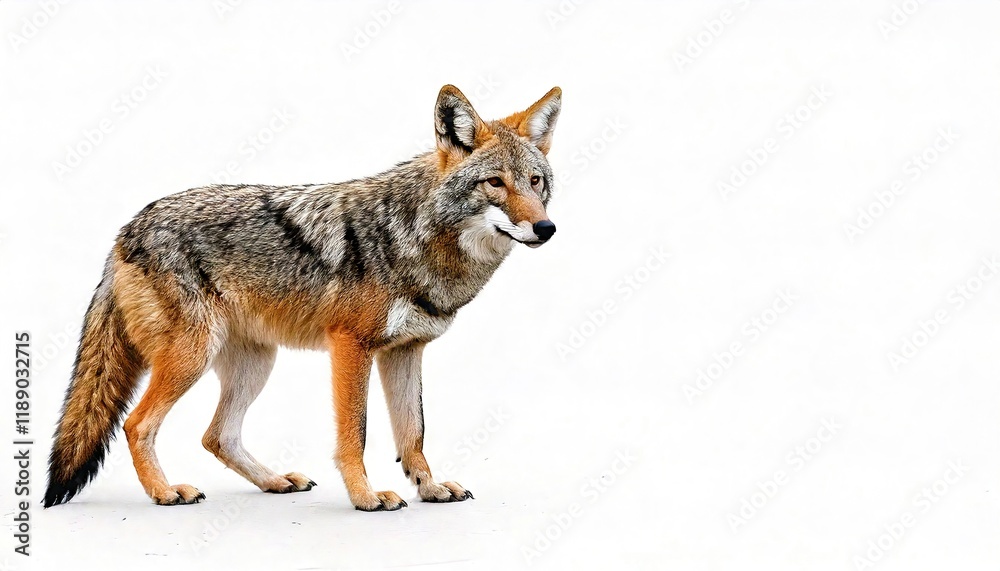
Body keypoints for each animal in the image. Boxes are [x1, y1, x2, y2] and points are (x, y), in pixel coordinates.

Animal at [43, 84, 562, 511]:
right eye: (495, 183)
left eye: (536, 182)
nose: (546, 228)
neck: (415, 236)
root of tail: (126, 230)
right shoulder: (352, 346)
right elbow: (356, 433)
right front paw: (366, 497)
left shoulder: (405, 351)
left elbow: (412, 432)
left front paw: (429, 488)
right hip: (193, 356)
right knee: (137, 424)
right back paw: (166, 492)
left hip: (256, 365)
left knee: (217, 436)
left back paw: (273, 482)